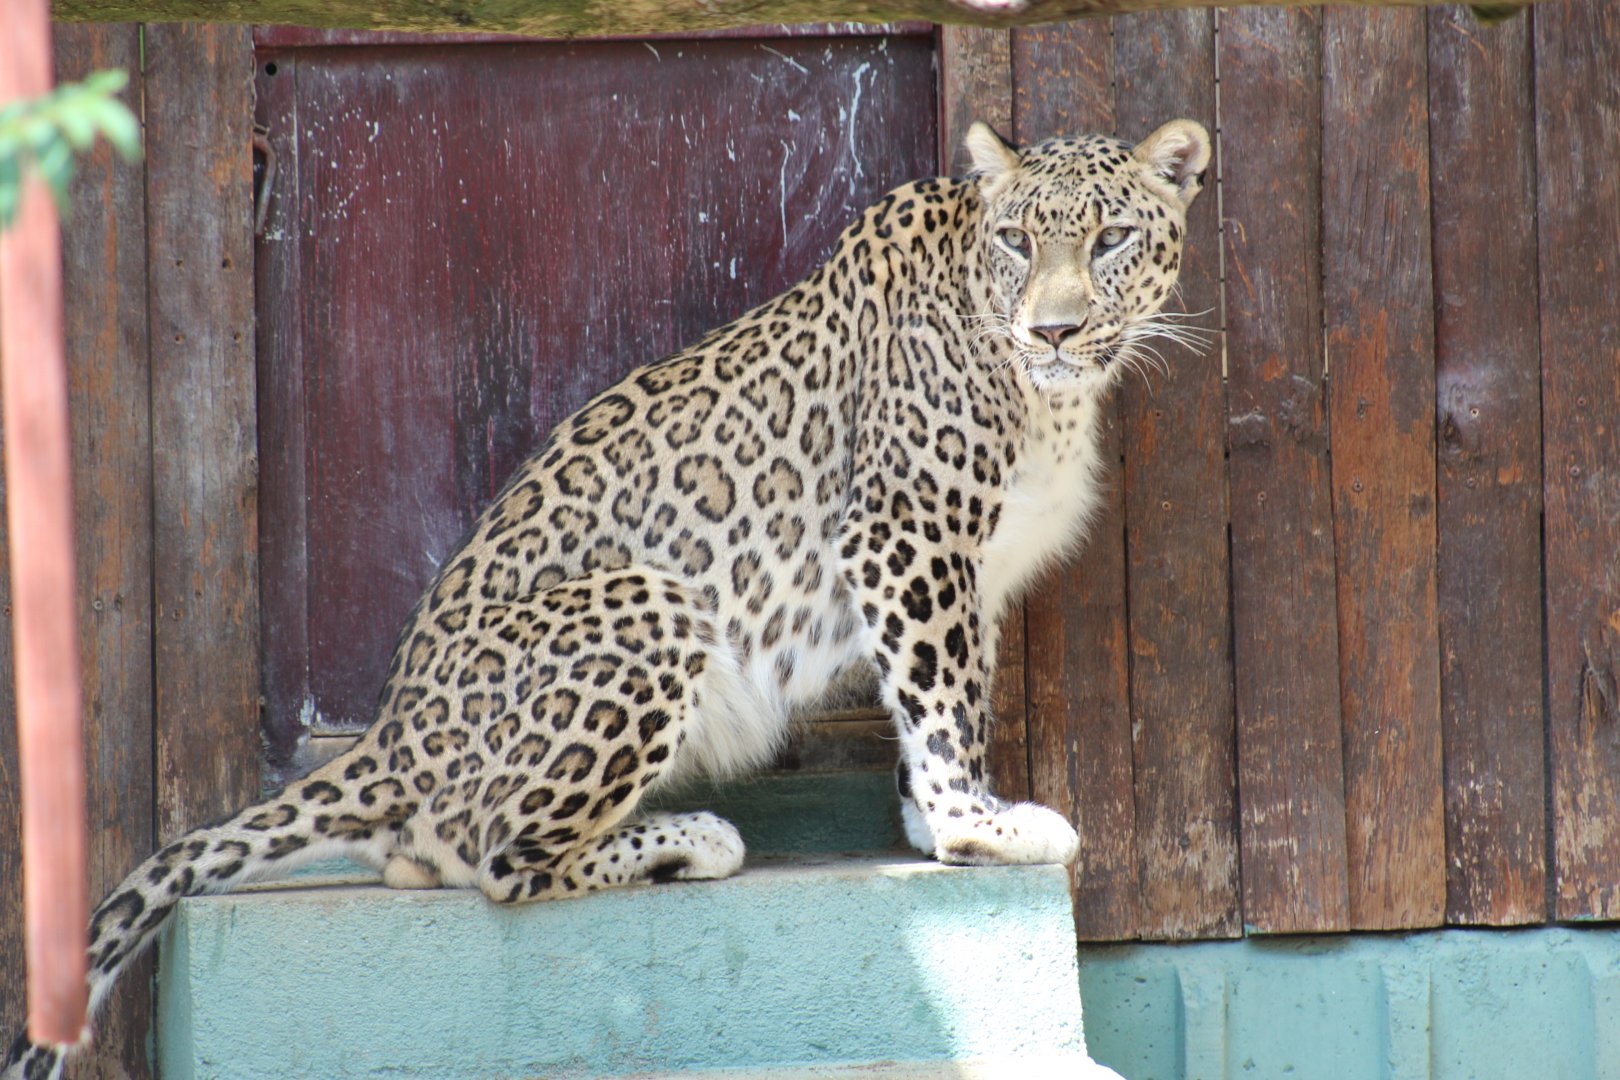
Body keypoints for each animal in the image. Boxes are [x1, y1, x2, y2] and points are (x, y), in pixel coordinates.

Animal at [4, 116, 1210, 1080]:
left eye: (1111, 239)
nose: (1054, 330)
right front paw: (978, 829)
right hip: (651, 602)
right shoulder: (902, 532)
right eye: (1020, 243)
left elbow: (945, 690)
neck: (1044, 390)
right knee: (500, 860)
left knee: (430, 855)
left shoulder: (968, 566)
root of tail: (391, 733)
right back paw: (690, 840)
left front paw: (928, 818)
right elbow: (945, 693)